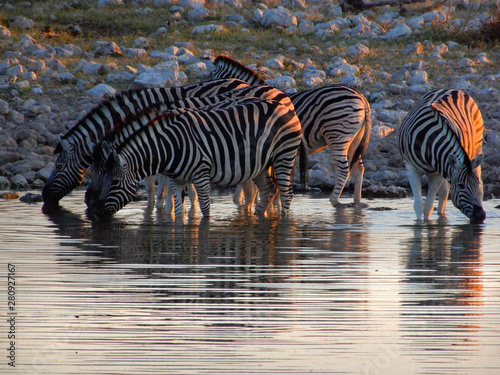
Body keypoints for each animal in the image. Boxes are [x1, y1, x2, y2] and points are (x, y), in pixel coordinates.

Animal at [84, 85, 296, 214]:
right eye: (90, 170)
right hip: (259, 163)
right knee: (268, 190)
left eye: (112, 179)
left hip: (281, 157)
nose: (91, 208)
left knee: (279, 193)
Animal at [206, 54, 372, 207]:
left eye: (210, 79)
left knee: (343, 170)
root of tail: (361, 97)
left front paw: (244, 200)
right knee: (358, 168)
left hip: (338, 135)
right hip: (354, 139)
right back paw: (357, 202)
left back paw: (334, 201)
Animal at [398, 89, 484, 223]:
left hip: (476, 146)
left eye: (476, 184)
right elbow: (419, 205)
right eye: (461, 186)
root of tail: (453, 89)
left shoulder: (438, 172)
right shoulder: (412, 169)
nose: (481, 216)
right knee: (444, 192)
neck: (429, 143)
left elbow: (428, 206)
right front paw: (419, 224)